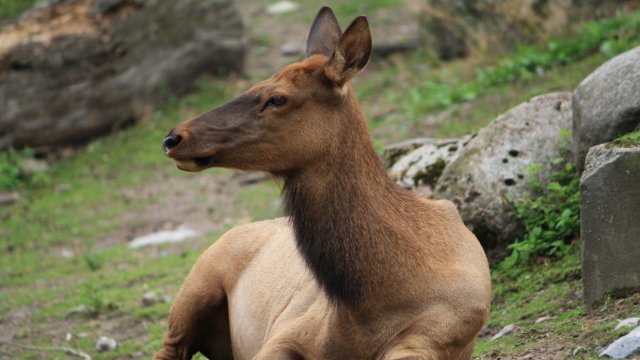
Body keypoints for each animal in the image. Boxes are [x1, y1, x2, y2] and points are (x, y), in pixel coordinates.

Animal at [156, 7, 490, 358]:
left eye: (277, 98)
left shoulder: (428, 340)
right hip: (195, 289)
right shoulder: (289, 332)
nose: (174, 137)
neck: (373, 302)